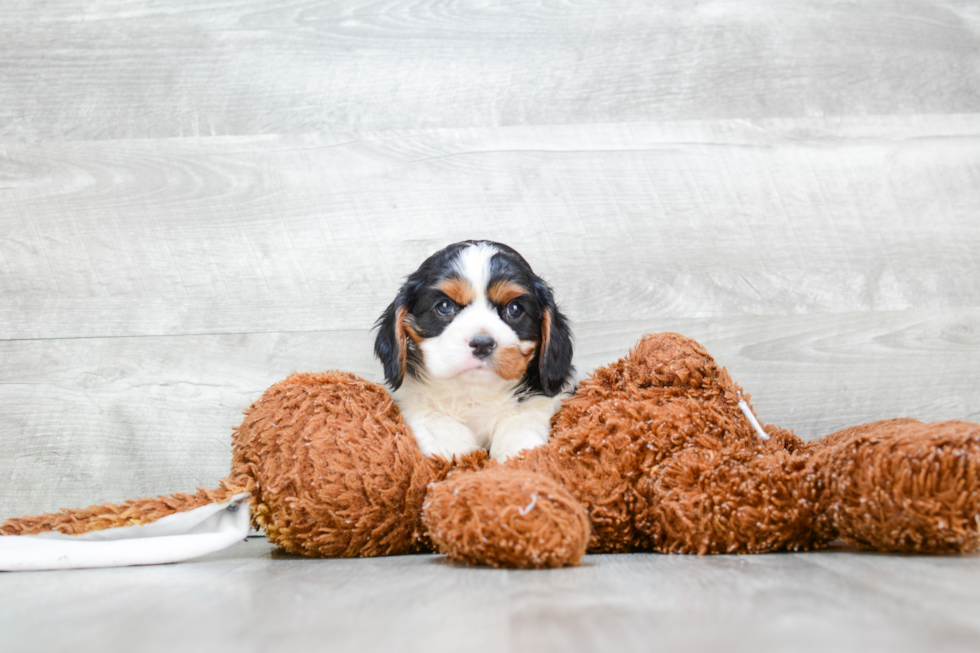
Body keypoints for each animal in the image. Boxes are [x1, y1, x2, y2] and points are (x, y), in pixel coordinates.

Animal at [376, 242, 576, 460]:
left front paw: (518, 449)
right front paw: (449, 442)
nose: (482, 343)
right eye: (444, 306)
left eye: (515, 309)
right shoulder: (408, 396)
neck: (473, 391)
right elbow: (425, 410)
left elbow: (522, 417)